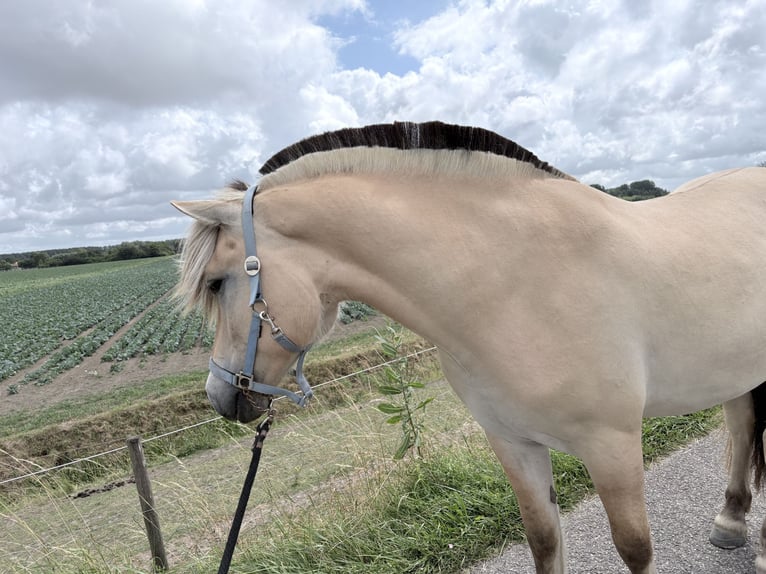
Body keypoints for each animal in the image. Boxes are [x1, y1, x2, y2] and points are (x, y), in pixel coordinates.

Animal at [172, 121, 766, 573]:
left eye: (217, 283)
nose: (221, 396)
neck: (516, 284)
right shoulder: (512, 442)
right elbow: (544, 540)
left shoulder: (612, 446)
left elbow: (635, 548)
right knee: (741, 428)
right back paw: (732, 519)